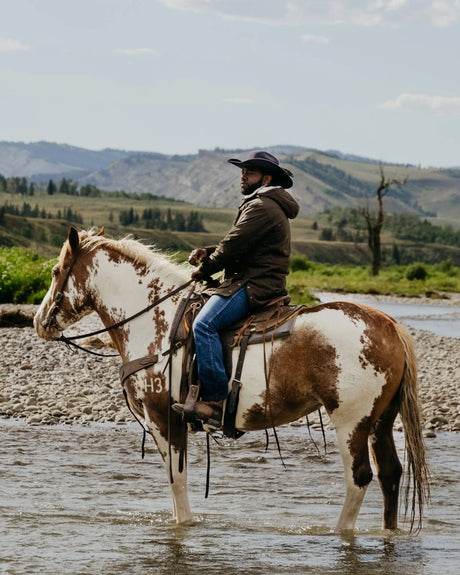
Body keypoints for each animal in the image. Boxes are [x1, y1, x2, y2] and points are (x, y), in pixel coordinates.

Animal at [34, 227, 430, 532]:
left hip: (352, 422)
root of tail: (389, 325)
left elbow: (177, 482)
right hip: (381, 421)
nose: (39, 322)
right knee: (391, 475)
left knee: (360, 478)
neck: (155, 322)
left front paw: (185, 527)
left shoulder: (164, 419)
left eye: (55, 271)